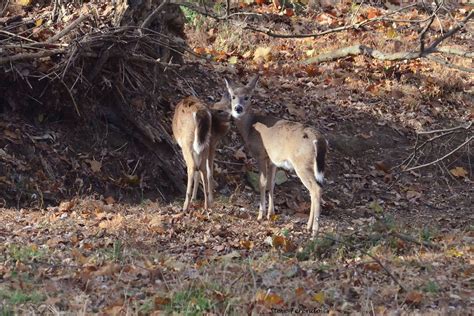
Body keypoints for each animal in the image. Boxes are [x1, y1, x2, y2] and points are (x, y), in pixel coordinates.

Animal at [224, 75, 328, 236]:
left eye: (247, 97)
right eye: (233, 96)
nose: (238, 108)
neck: (250, 128)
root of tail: (318, 139)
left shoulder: (260, 154)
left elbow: (262, 182)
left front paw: (260, 215)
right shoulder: (273, 160)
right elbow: (271, 183)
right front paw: (271, 213)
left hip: (302, 164)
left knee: (316, 189)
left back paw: (314, 231)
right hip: (310, 166)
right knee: (313, 190)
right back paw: (308, 226)